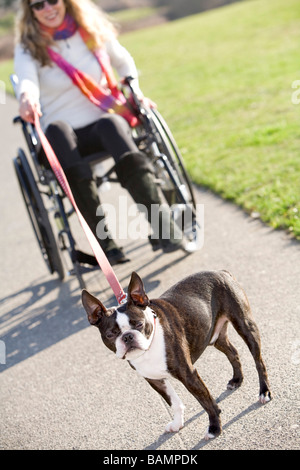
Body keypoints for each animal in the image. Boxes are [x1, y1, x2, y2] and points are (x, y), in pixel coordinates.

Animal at [82, 270, 272, 438]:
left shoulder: (188, 374)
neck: (149, 348)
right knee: (233, 352)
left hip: (245, 325)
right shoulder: (155, 380)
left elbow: (206, 403)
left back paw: (264, 392)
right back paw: (237, 379)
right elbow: (173, 402)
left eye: (139, 324)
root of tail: (221, 272)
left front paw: (214, 428)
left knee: (258, 361)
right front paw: (177, 423)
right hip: (215, 337)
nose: (128, 337)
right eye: (110, 334)